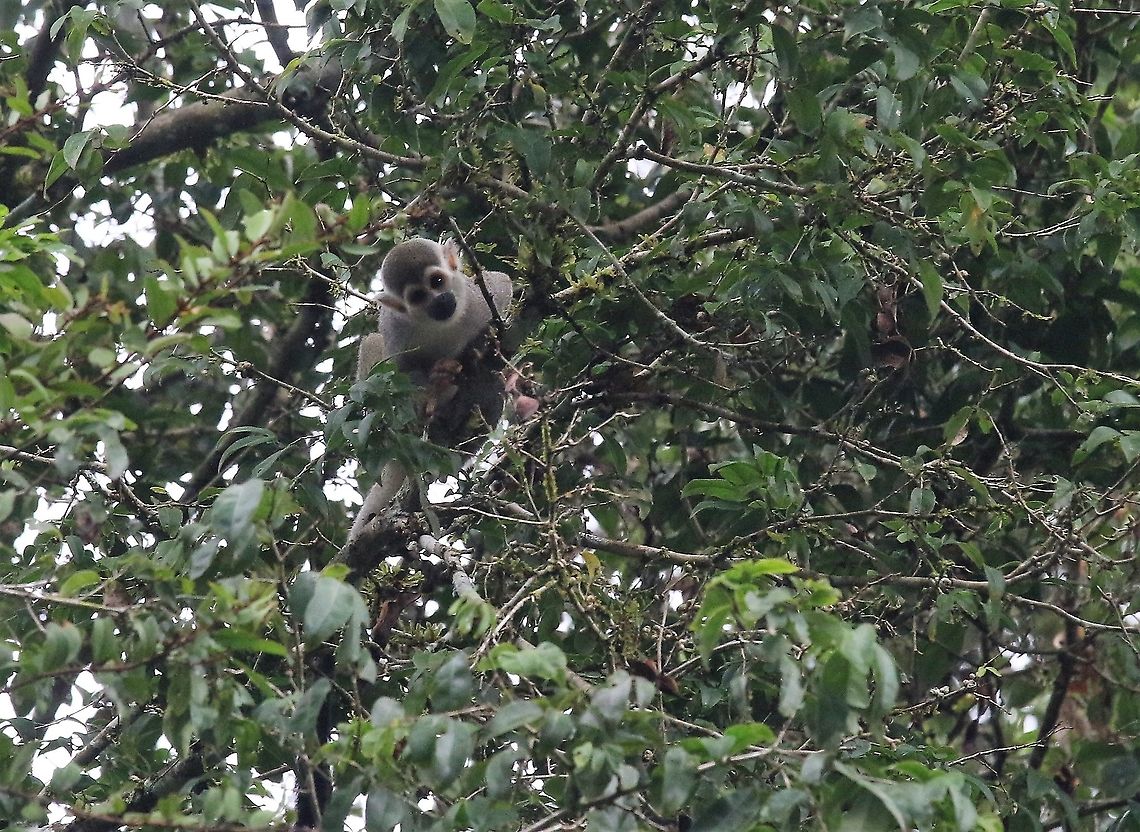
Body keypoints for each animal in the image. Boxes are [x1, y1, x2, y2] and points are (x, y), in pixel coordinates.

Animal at [347, 237, 513, 544]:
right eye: (417, 297)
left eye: (437, 281)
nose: (441, 301)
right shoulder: (398, 328)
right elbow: (400, 369)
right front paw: (433, 387)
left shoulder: (474, 297)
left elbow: (501, 285)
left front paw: (486, 336)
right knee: (374, 346)